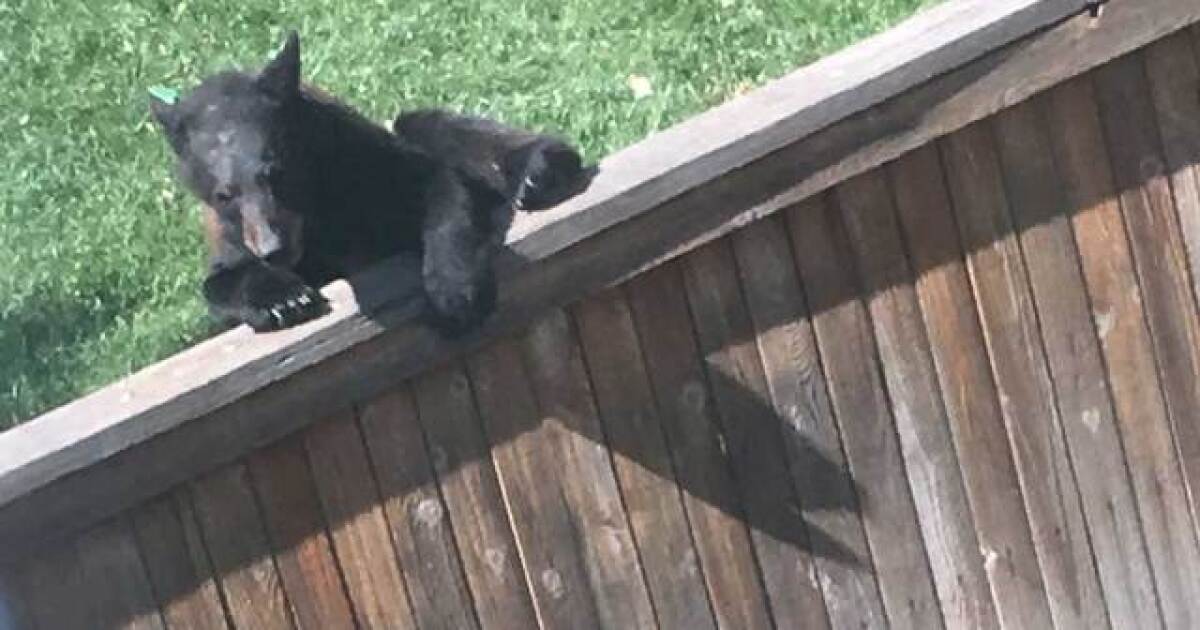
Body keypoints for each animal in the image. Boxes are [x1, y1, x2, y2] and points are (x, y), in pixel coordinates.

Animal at [150, 31, 590, 335]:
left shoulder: (360, 161)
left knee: (428, 123)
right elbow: (220, 283)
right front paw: (284, 299)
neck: (315, 219)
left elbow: (438, 187)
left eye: (276, 171)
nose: (274, 249)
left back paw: (539, 171)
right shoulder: (230, 235)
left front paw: (454, 290)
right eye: (224, 194)